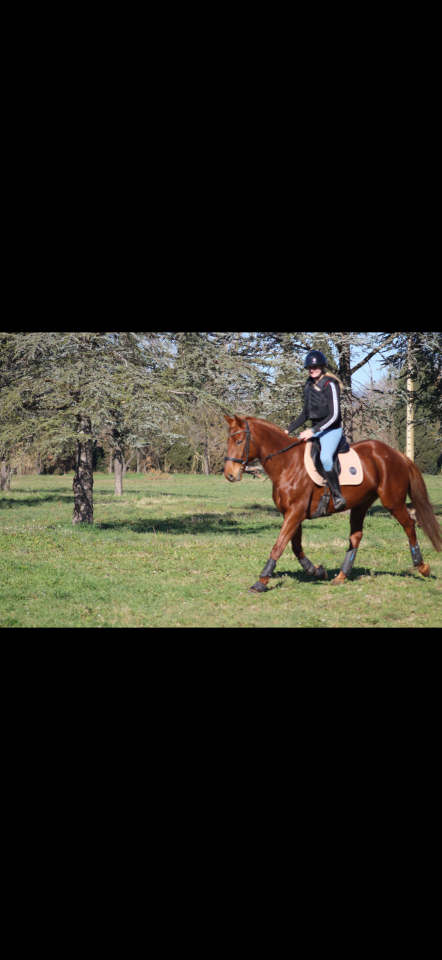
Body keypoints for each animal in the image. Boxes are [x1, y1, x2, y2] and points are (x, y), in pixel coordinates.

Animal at [224, 415, 442, 593]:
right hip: (361, 504)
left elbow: (279, 546)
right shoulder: (293, 514)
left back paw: (422, 567)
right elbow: (295, 547)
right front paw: (317, 572)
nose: (229, 475)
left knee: (410, 526)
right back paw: (341, 576)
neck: (287, 463)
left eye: (240, 441)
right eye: (228, 441)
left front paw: (261, 582)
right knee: (356, 536)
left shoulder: (294, 513)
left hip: (393, 502)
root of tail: (396, 454)